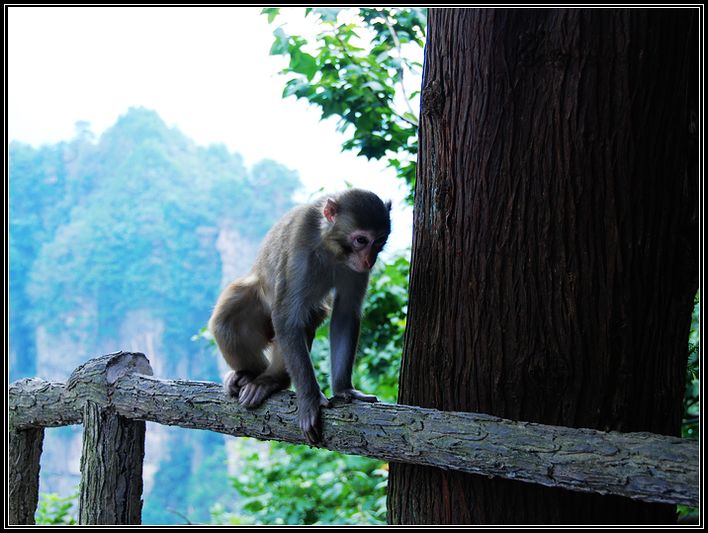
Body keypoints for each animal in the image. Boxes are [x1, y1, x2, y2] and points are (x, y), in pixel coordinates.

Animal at [209, 189, 392, 442]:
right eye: (361, 240)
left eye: (379, 241)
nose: (368, 260)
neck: (331, 248)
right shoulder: (301, 241)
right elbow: (286, 317)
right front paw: (310, 400)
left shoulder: (353, 268)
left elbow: (345, 314)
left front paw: (343, 389)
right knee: (228, 317)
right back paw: (250, 375)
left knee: (307, 315)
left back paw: (272, 380)